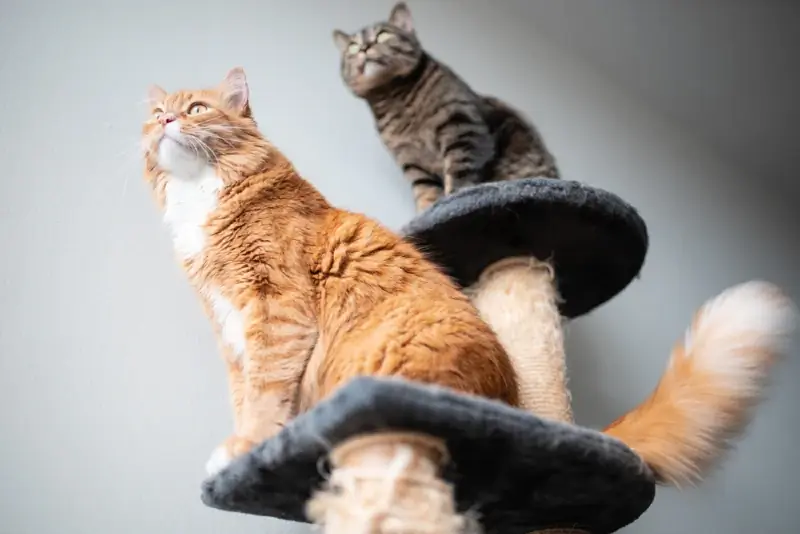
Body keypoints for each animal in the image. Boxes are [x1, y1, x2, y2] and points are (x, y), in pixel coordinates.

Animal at [140, 68, 520, 478]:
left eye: (197, 108)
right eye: (157, 113)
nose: (166, 120)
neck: (197, 194)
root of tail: (505, 399)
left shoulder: (276, 307)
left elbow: (264, 390)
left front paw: (246, 448)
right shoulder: (228, 326)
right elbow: (243, 394)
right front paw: (237, 455)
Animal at [334, 1, 560, 214]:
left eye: (383, 34)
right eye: (352, 46)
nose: (364, 47)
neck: (393, 96)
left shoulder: (462, 127)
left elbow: (458, 175)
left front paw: (450, 202)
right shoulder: (411, 161)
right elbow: (424, 191)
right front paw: (425, 213)